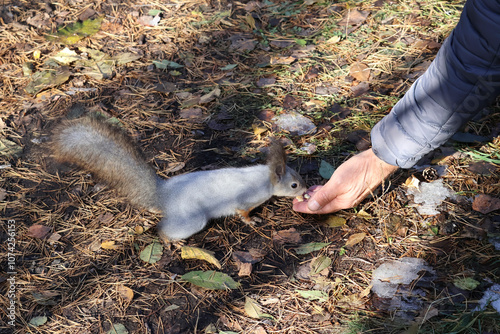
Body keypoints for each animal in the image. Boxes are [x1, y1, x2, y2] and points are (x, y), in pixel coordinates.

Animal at [52, 116, 306, 241]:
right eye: (294, 184)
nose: (305, 191)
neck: (265, 178)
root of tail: (163, 194)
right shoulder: (246, 199)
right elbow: (242, 212)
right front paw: (252, 221)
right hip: (191, 219)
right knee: (165, 230)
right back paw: (169, 240)